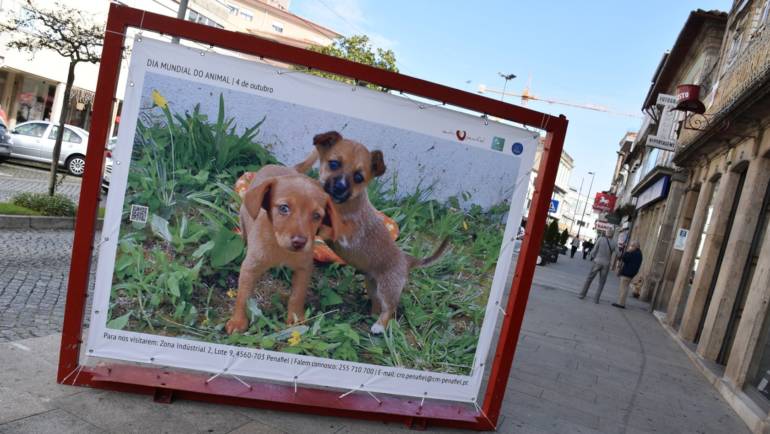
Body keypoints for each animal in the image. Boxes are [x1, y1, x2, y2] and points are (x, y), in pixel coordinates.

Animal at [224, 164, 340, 334]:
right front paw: (238, 321)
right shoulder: (249, 268)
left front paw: (296, 318)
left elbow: (297, 295)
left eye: (316, 216)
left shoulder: (304, 269)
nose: (300, 242)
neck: (280, 248)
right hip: (244, 221)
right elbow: (243, 297)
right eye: (284, 208)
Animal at [296, 131, 450, 334]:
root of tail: (407, 260)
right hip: (372, 285)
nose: (340, 187)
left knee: (390, 308)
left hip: (387, 288)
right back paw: (370, 315)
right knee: (378, 304)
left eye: (359, 177)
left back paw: (379, 326)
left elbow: (329, 229)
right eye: (334, 164)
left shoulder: (347, 235)